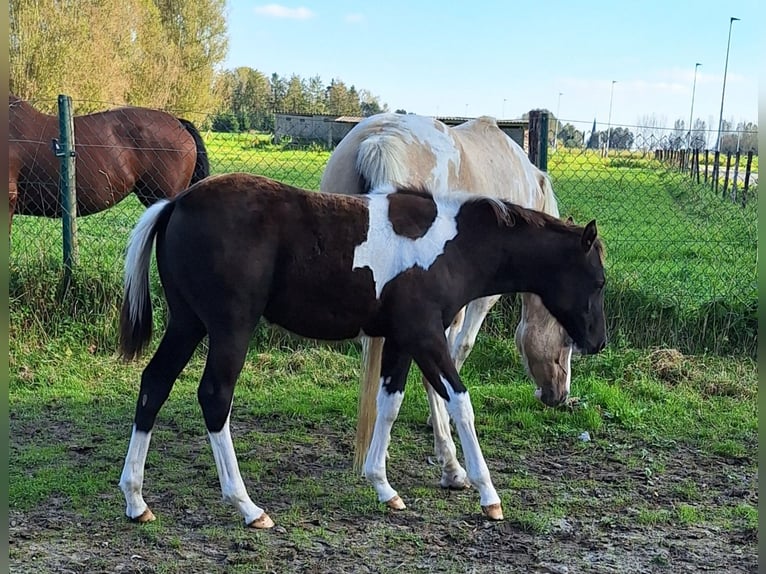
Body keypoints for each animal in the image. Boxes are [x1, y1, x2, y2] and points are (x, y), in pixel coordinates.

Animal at [117, 174, 608, 532]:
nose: (597, 342)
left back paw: (136, 500)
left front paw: (384, 487)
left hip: (187, 323)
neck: (453, 246)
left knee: (154, 384)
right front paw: (489, 496)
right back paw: (248, 507)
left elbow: (389, 404)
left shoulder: (401, 340)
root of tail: (175, 203)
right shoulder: (427, 336)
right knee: (214, 397)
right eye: (599, 281)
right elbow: (461, 403)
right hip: (229, 328)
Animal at [320, 112, 580, 482]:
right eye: (569, 339)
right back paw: (451, 463)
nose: (560, 395)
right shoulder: (476, 300)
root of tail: (380, 140)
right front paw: (440, 420)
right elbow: (458, 351)